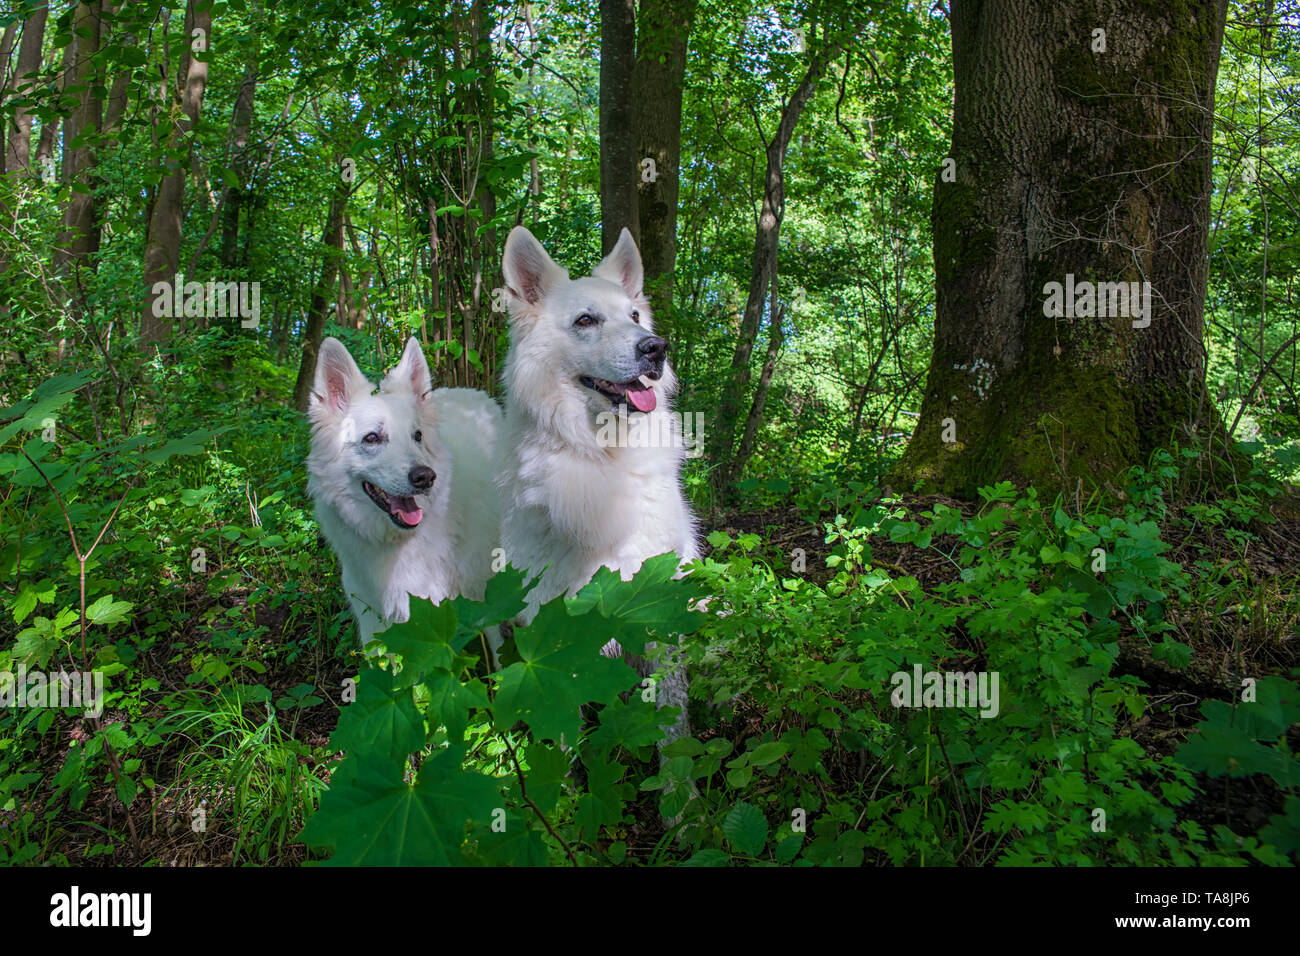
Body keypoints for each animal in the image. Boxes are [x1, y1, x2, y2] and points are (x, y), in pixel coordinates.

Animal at [306, 340, 504, 647]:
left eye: (417, 436)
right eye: (372, 438)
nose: (426, 477)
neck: (397, 542)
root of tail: (469, 390)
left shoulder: (477, 597)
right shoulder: (375, 621)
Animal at [496, 227, 702, 743]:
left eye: (634, 316)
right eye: (586, 320)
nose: (656, 347)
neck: (602, 453)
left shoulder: (657, 606)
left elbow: (671, 712)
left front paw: (679, 767)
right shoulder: (549, 612)